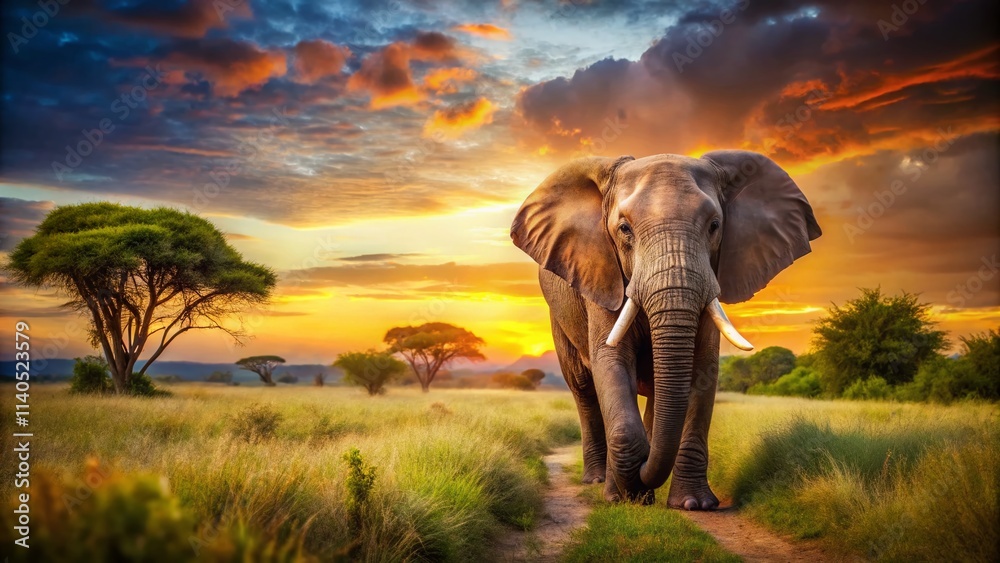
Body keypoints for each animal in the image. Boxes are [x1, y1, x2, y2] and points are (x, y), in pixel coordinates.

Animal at [510, 151, 821, 508]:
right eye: (624, 229)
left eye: (715, 226)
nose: (640, 481)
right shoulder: (602, 273)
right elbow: (611, 360)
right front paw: (624, 496)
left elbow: (702, 369)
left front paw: (693, 504)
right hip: (558, 314)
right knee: (583, 388)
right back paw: (598, 480)